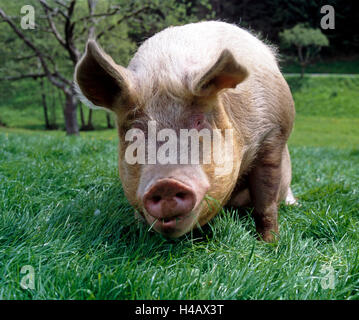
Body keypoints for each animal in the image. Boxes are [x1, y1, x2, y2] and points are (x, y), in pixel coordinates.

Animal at [74, 21, 296, 242]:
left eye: (198, 121)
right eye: (135, 130)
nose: (166, 184)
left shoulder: (273, 134)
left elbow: (265, 202)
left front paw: (269, 243)